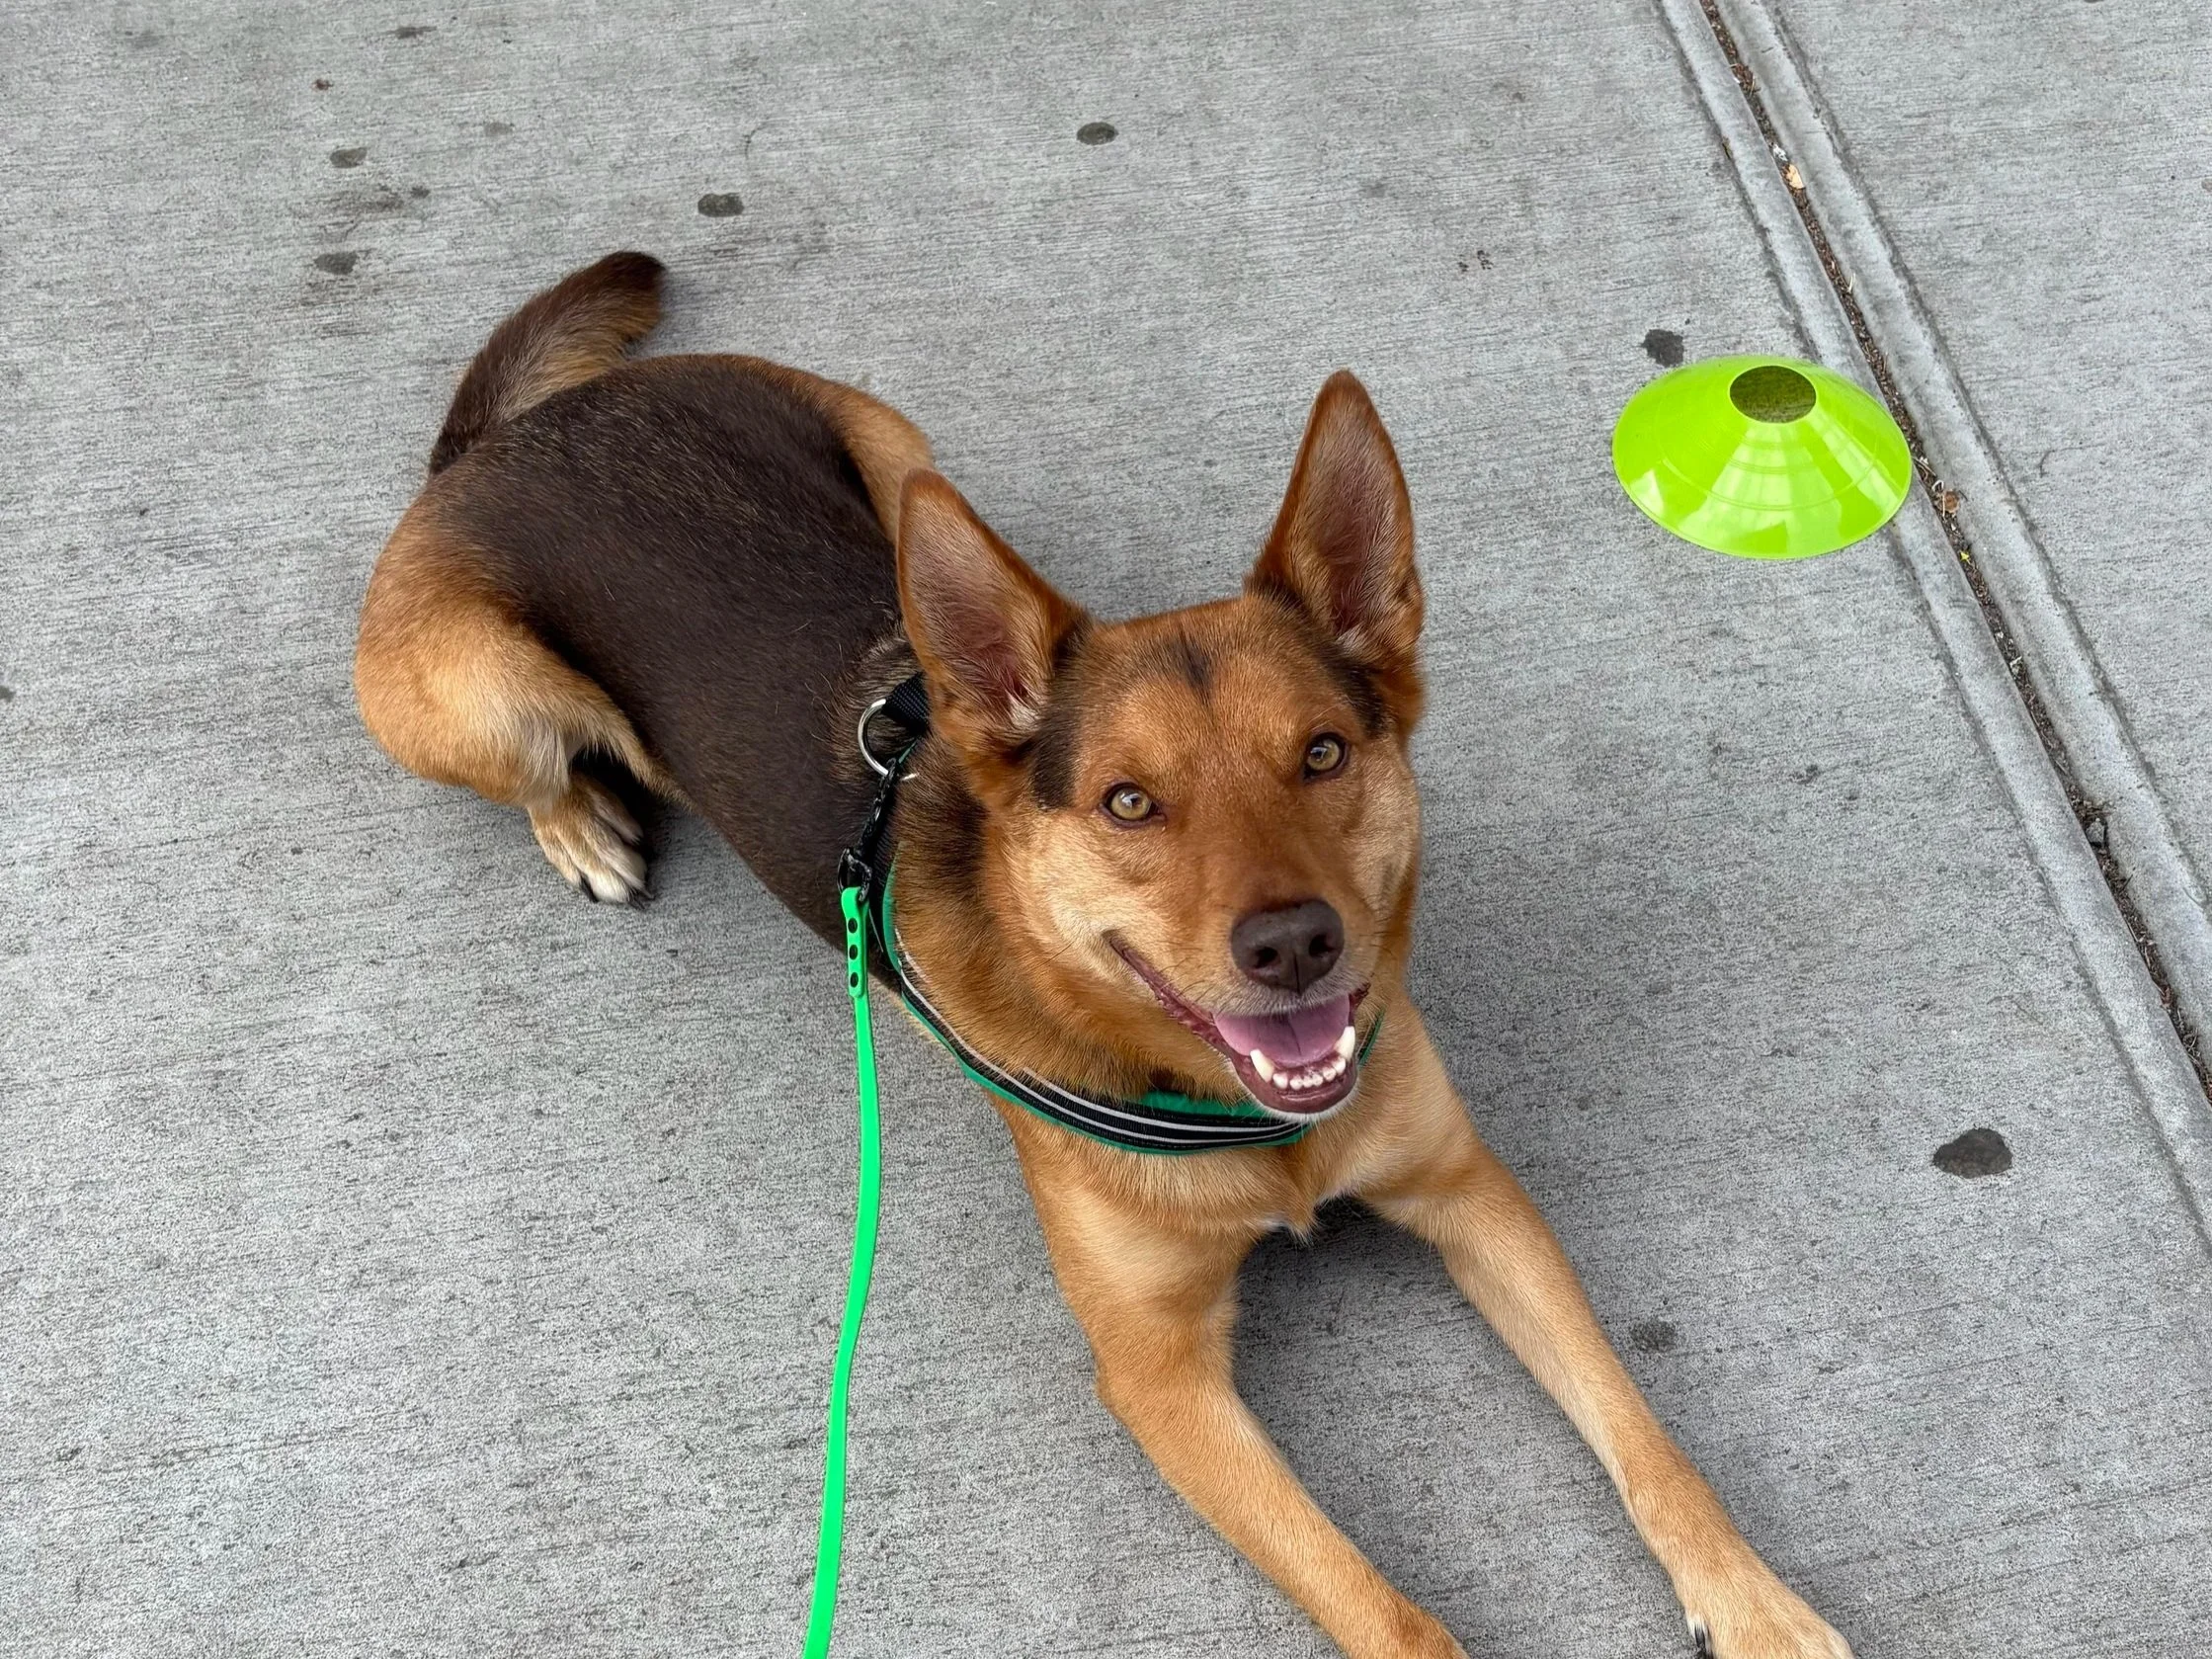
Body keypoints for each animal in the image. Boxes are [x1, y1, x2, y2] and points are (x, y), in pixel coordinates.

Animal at [355, 252, 1852, 1659]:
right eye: (1129, 802)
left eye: (1322, 751)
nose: (1293, 942)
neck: (1244, 1117)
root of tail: (514, 433)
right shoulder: (1161, 1378)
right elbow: (1388, 1612)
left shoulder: (1472, 1196)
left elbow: (1649, 1445)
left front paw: (1756, 1604)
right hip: (473, 701)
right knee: (537, 764)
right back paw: (582, 825)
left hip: (898, 453)